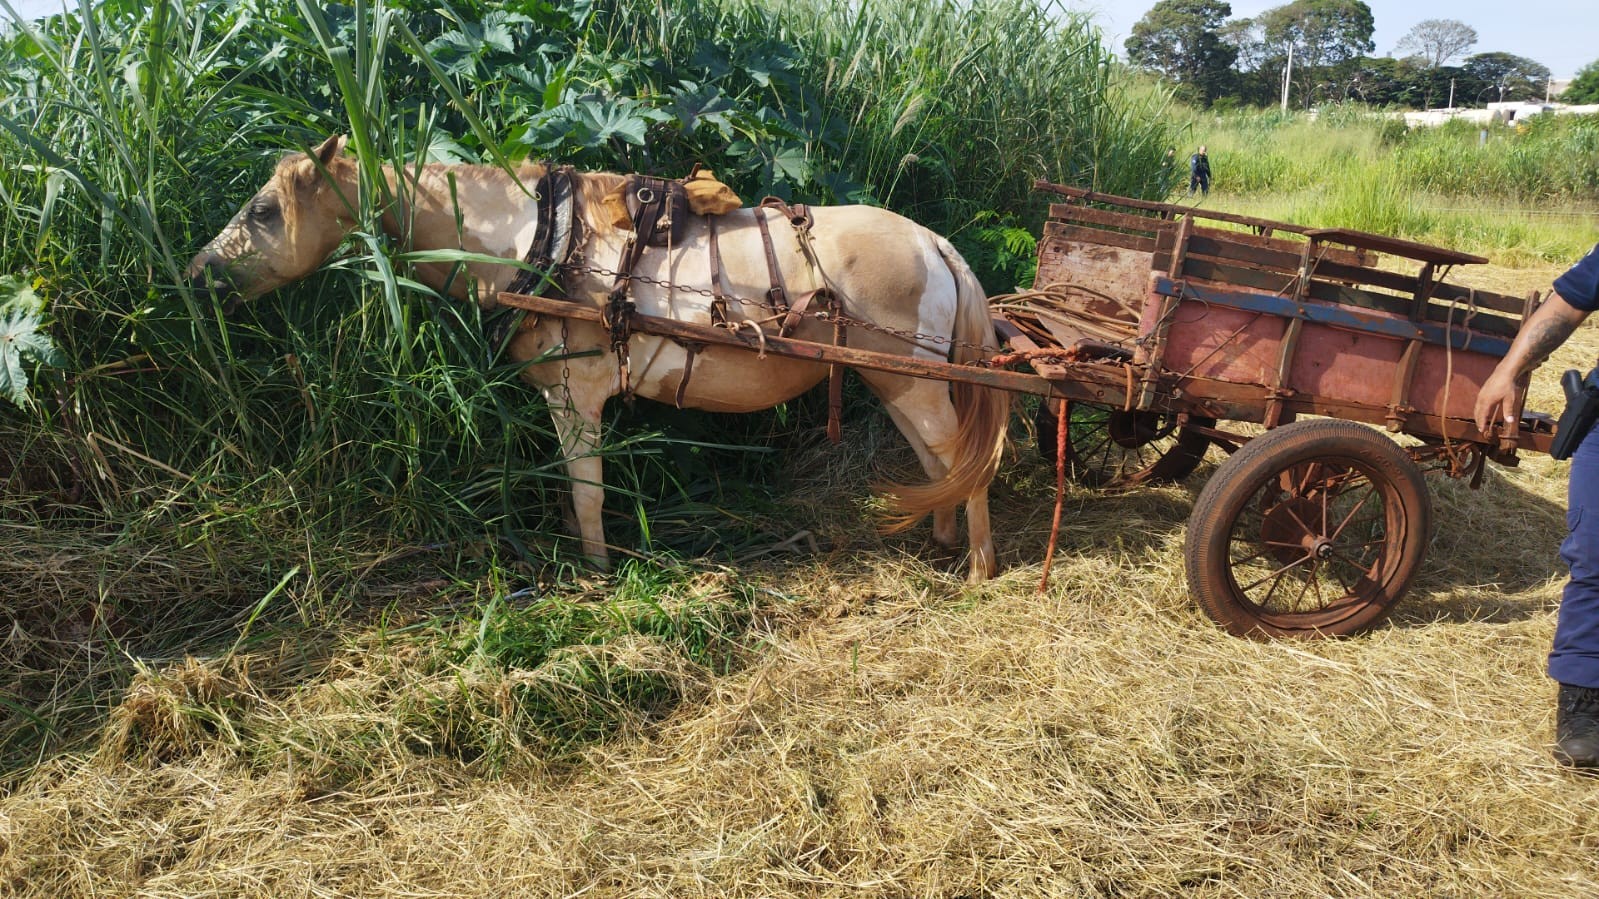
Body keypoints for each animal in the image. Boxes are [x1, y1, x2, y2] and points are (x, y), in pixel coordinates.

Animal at [187, 136, 1010, 581]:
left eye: (263, 211)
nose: (196, 275)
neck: (536, 241)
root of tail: (933, 242)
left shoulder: (573, 396)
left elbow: (586, 494)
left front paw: (595, 575)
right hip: (896, 379)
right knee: (938, 462)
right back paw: (945, 541)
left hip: (909, 378)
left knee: (965, 461)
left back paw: (979, 565)